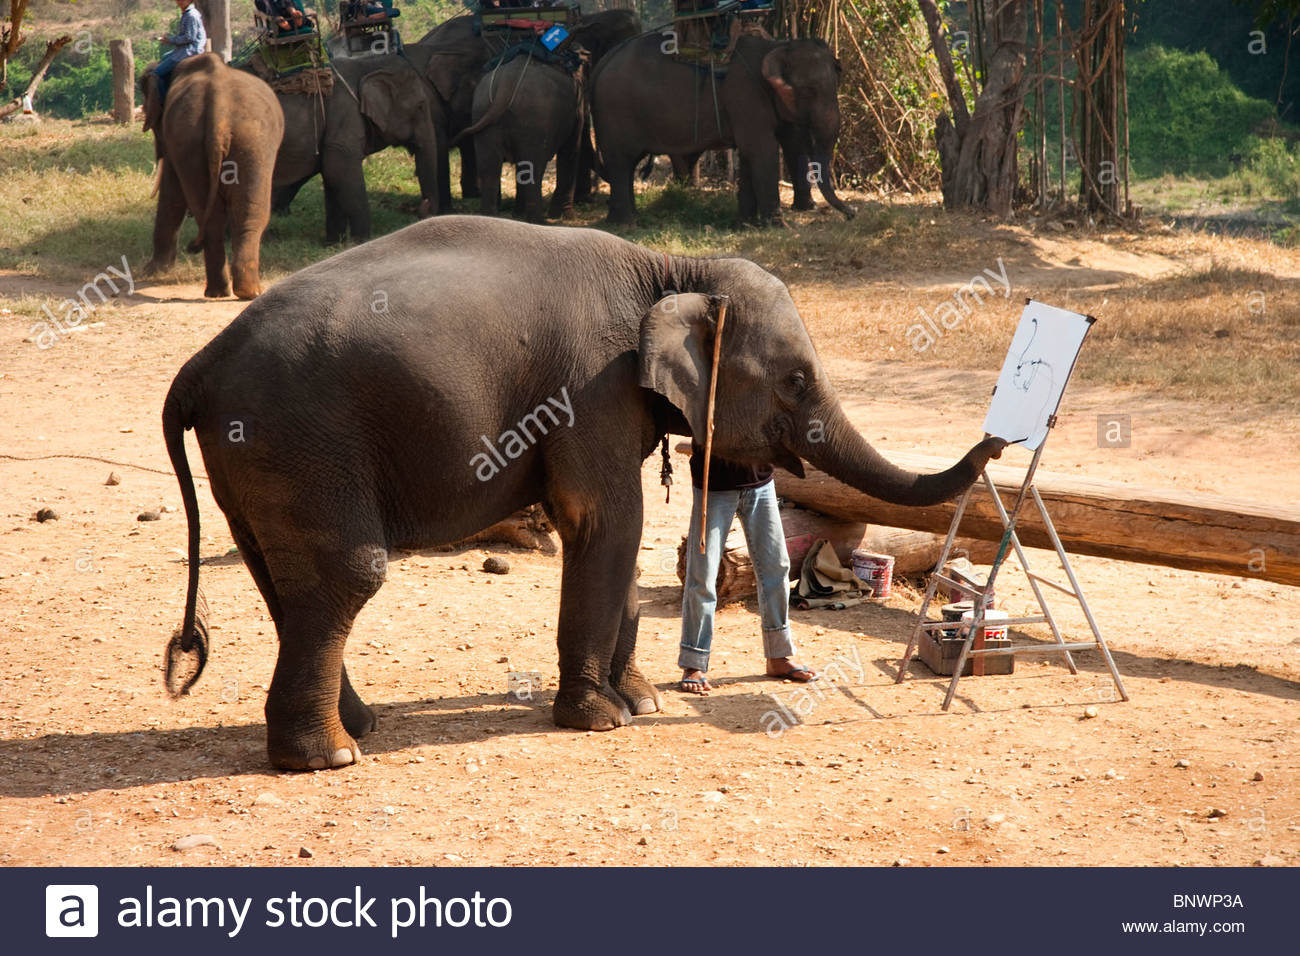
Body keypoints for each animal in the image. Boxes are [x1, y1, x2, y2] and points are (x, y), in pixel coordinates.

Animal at [141, 54, 283, 299]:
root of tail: (220, 113)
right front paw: (154, 270)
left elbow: (172, 190)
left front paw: (151, 271)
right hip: (245, 143)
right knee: (237, 215)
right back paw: (238, 292)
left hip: (230, 142)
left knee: (227, 214)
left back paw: (239, 292)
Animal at [161, 215, 1006, 770]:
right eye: (796, 380)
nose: (1000, 441)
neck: (670, 270)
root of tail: (197, 368)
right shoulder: (589, 387)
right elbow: (608, 521)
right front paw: (603, 720)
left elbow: (617, 535)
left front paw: (645, 703)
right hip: (299, 443)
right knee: (348, 574)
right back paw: (330, 759)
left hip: (258, 460)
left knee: (289, 583)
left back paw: (357, 729)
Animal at [252, 51, 440, 244]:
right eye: (420, 106)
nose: (424, 206)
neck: (367, 63)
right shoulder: (345, 117)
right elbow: (339, 169)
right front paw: (362, 241)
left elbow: (331, 175)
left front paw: (334, 244)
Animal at [592, 34, 856, 224]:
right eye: (810, 91)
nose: (852, 213)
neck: (777, 45)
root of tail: (602, 62)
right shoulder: (745, 94)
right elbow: (762, 148)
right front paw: (777, 225)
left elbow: (754, 151)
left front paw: (746, 224)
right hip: (615, 111)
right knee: (621, 161)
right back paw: (625, 223)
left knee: (627, 165)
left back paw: (629, 218)